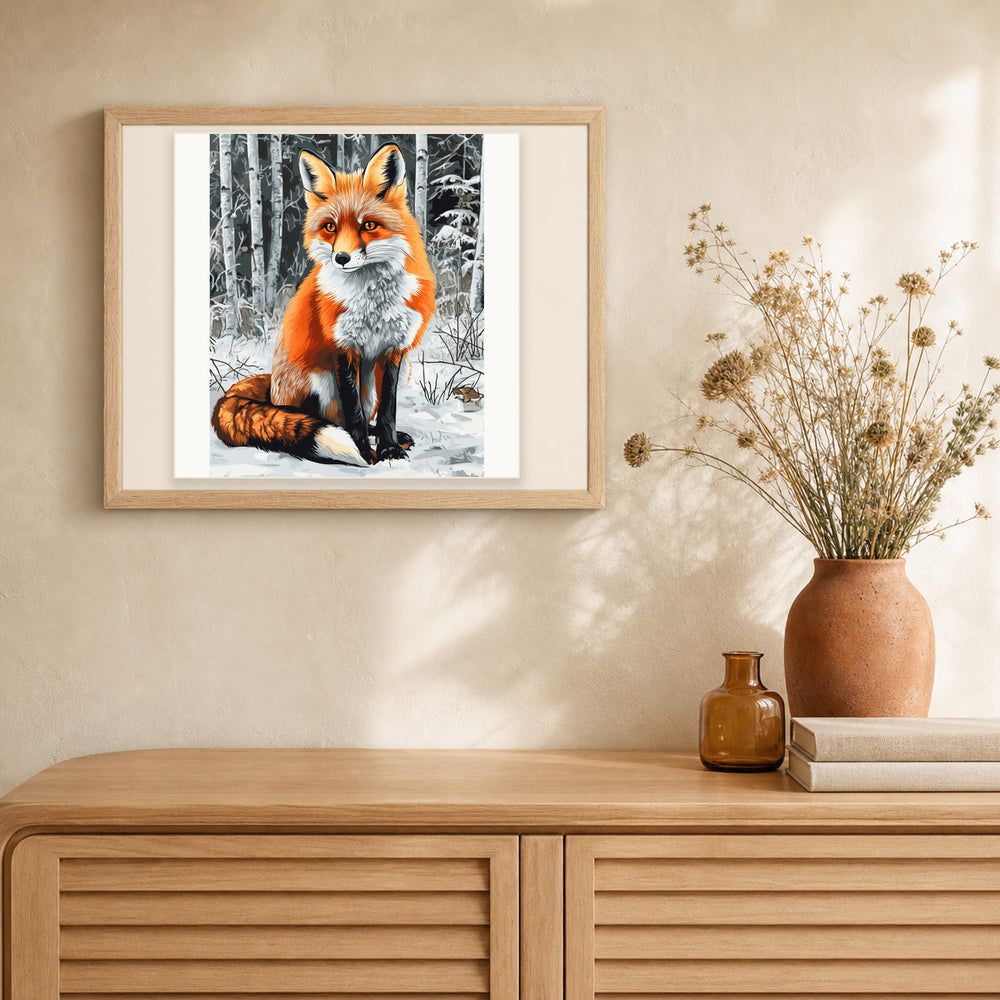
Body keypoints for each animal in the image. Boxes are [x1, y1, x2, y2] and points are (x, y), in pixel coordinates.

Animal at [212, 142, 436, 466]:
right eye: (330, 227)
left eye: (369, 225)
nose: (341, 258)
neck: (373, 301)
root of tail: (271, 387)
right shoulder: (342, 347)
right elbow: (353, 413)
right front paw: (364, 452)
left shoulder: (395, 349)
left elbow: (388, 411)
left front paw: (389, 448)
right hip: (319, 380)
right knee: (323, 419)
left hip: (372, 381)